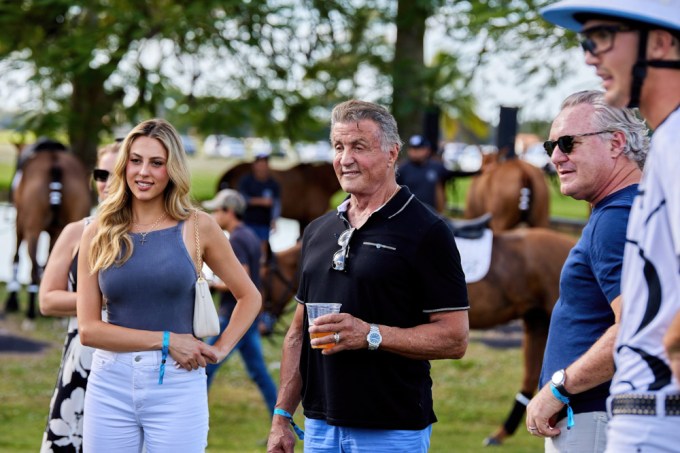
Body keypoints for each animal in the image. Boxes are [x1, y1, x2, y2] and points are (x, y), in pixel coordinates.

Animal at [5, 139, 92, 320]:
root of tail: (55, 162)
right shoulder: (58, 233)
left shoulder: (20, 223)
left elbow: (16, 257)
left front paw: (12, 302)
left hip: (32, 229)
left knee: (32, 266)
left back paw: (31, 311)